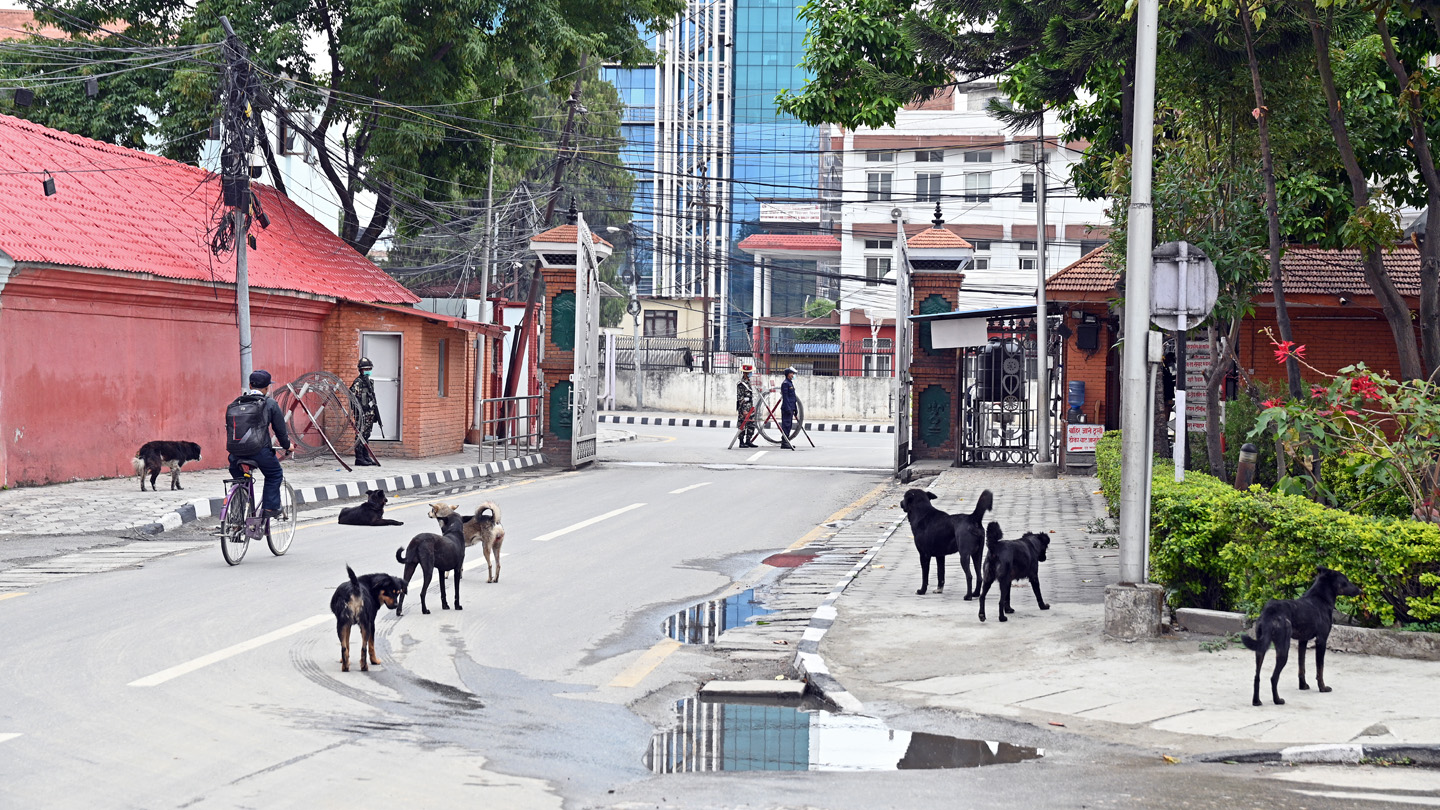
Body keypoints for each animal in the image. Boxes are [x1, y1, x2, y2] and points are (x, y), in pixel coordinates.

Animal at [1238, 564, 1359, 703]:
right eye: (1346, 580)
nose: (1360, 590)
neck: (1321, 598)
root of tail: (1269, 611)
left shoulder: (1303, 641)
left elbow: (1302, 666)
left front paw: (1303, 686)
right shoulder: (1322, 640)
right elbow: (1320, 668)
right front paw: (1322, 688)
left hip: (1260, 649)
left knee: (1256, 676)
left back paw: (1257, 701)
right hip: (1283, 649)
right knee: (1274, 677)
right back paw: (1277, 700)